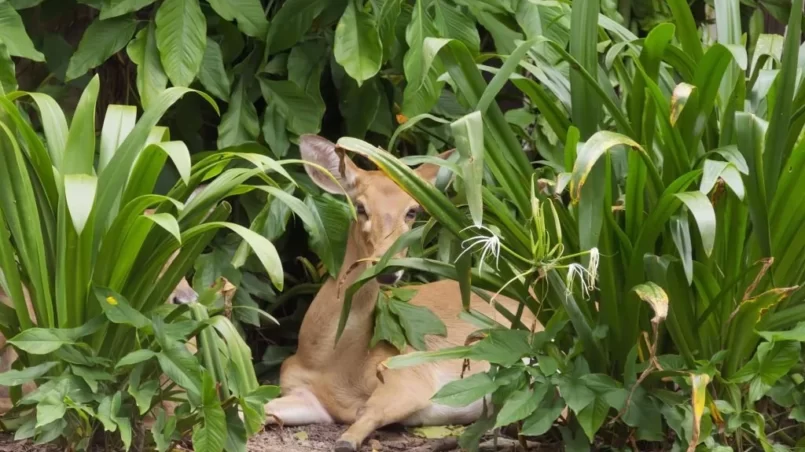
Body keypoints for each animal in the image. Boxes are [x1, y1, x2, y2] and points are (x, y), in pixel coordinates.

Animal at [266, 135, 544, 452]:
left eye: (412, 211)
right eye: (360, 207)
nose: (388, 270)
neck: (329, 360)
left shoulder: (407, 374)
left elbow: (363, 419)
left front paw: (349, 437)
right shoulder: (304, 393)